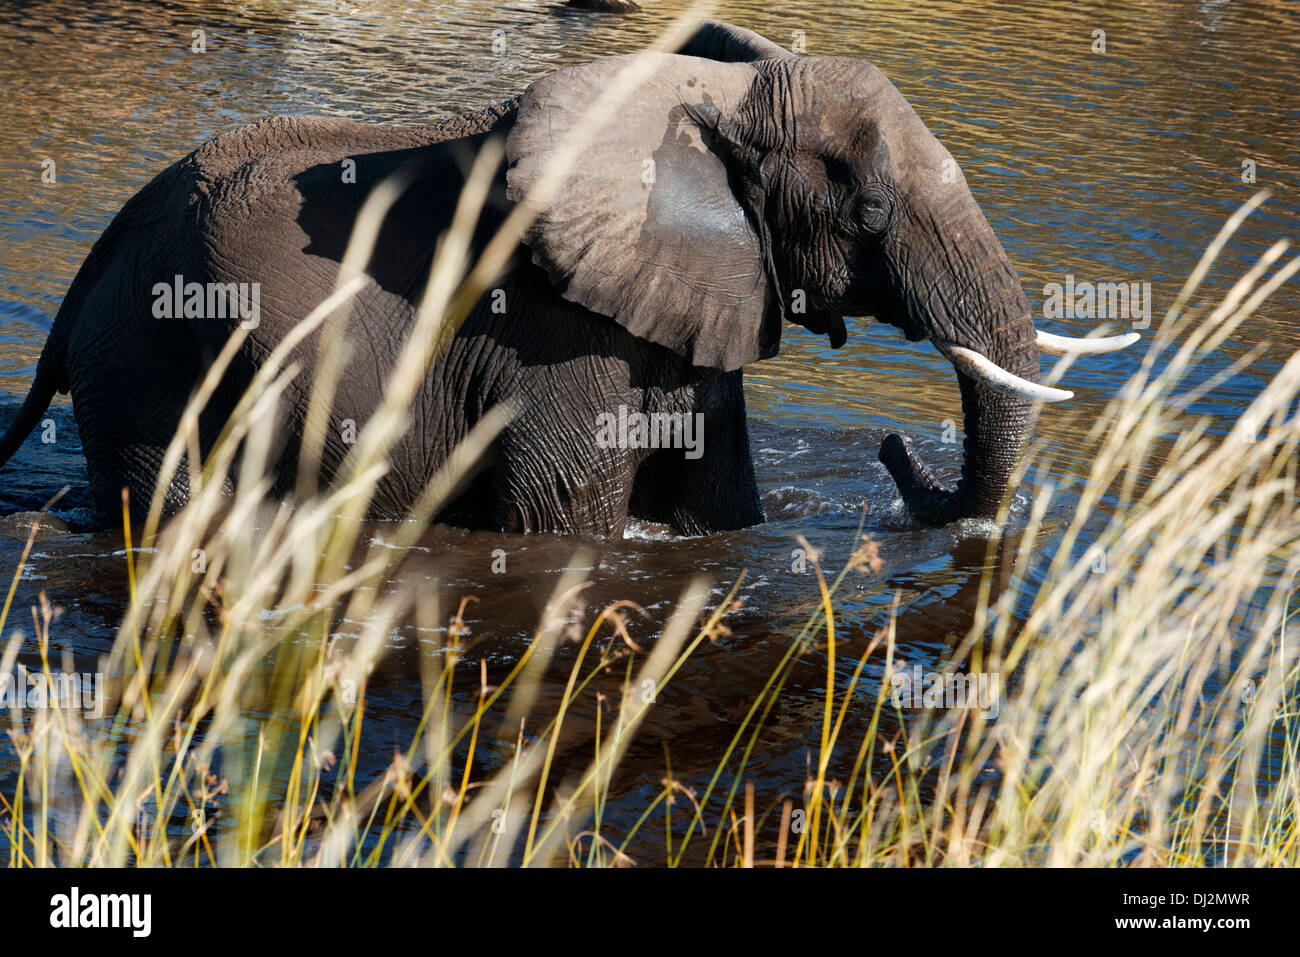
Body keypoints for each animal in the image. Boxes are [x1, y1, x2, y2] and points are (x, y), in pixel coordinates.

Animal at [0, 20, 1133, 538]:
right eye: (870, 216)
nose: (896, 450)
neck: (714, 94)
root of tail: (96, 258)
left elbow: (721, 506)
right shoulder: (552, 331)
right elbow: (558, 515)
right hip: (147, 359)